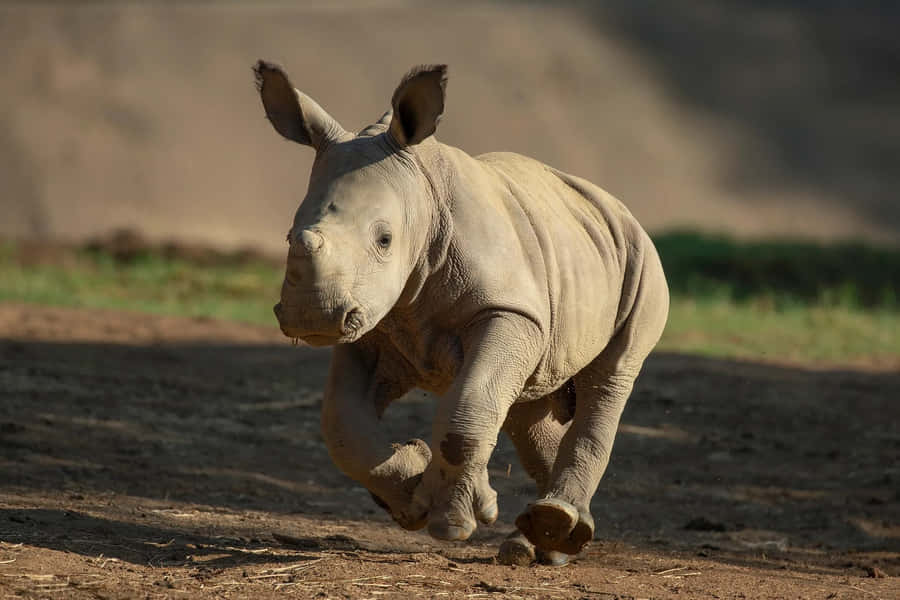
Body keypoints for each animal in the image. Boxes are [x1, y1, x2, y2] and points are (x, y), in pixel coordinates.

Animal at [255, 61, 668, 566]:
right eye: (288, 235)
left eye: (385, 239)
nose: (312, 316)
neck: (423, 199)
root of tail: (615, 205)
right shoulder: (373, 323)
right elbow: (341, 427)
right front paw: (416, 493)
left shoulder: (506, 310)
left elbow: (465, 412)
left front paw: (452, 523)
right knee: (527, 403)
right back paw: (546, 546)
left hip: (640, 260)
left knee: (610, 376)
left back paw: (556, 525)